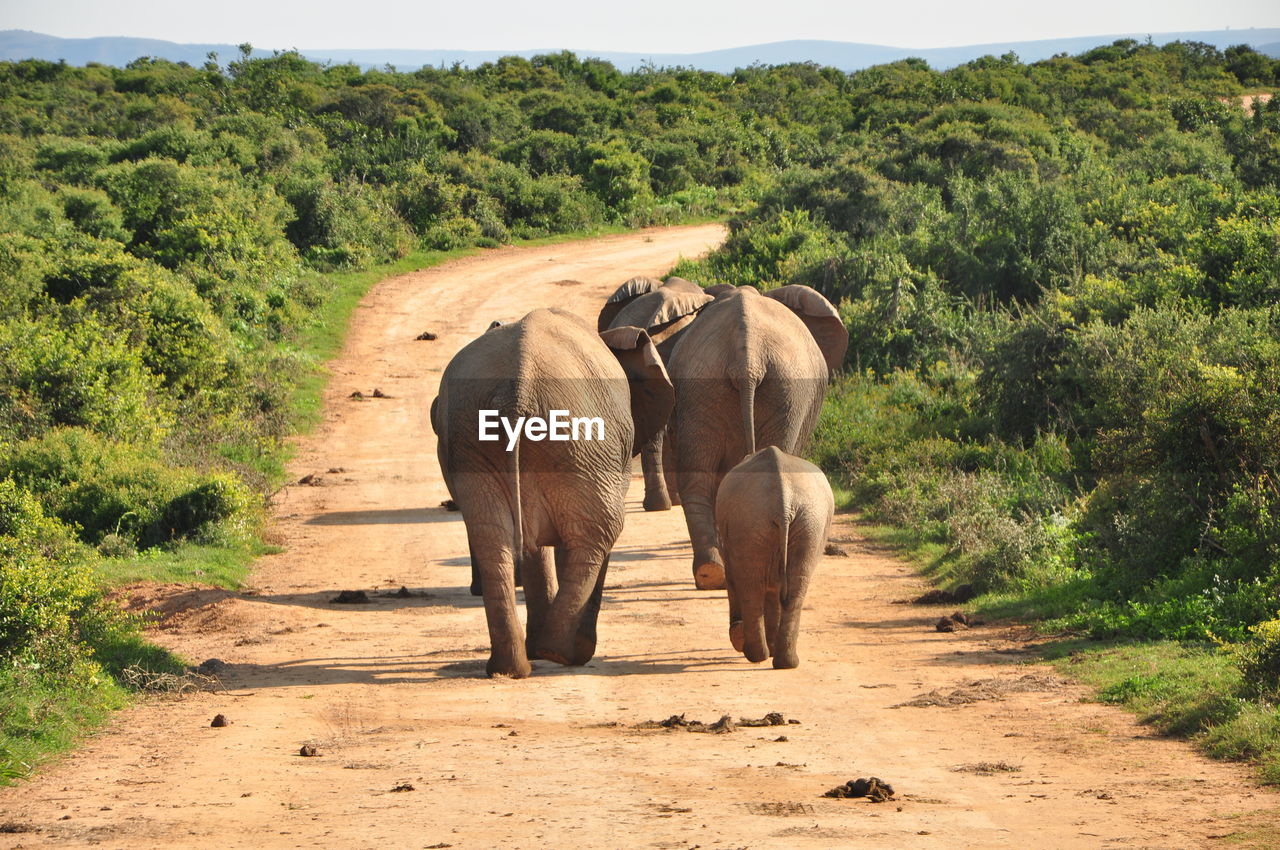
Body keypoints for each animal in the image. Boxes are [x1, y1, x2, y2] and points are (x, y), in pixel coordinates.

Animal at [430, 307, 675, 675]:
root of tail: (517, 387)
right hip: (580, 440)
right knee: (600, 531)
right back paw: (560, 653)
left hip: (476, 439)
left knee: (492, 537)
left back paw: (511, 668)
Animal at [716, 445, 834, 670]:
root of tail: (784, 503)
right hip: (803, 524)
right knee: (793, 588)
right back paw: (784, 661)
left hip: (763, 522)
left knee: (751, 586)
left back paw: (758, 655)